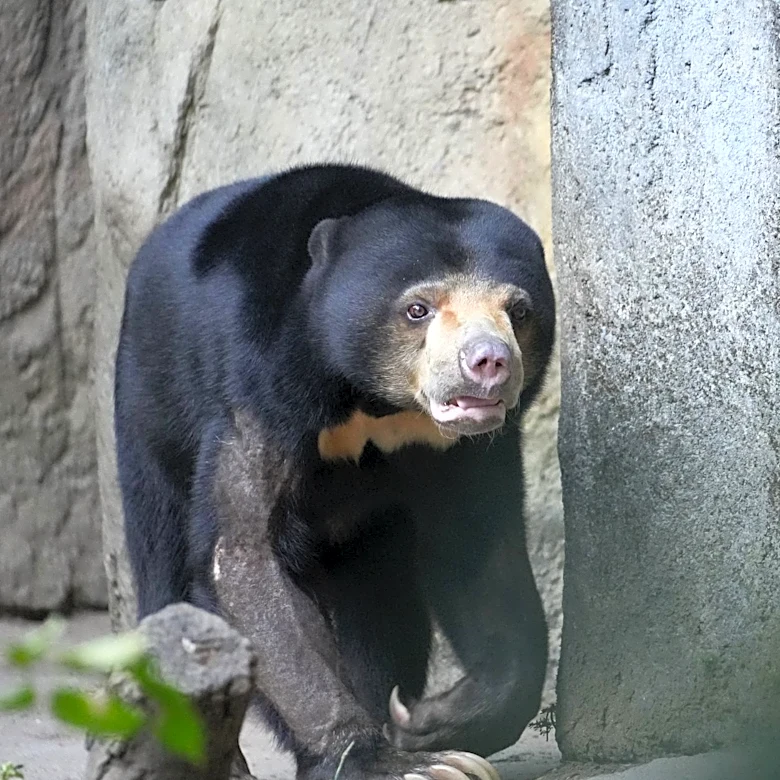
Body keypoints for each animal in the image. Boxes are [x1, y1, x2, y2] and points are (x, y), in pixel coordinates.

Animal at [114, 163, 556, 780]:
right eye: (418, 309)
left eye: (518, 311)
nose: (489, 362)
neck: (376, 403)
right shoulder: (260, 387)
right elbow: (243, 557)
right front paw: (397, 762)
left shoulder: (465, 449)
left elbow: (479, 551)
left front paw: (431, 723)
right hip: (150, 416)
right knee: (165, 573)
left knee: (382, 602)